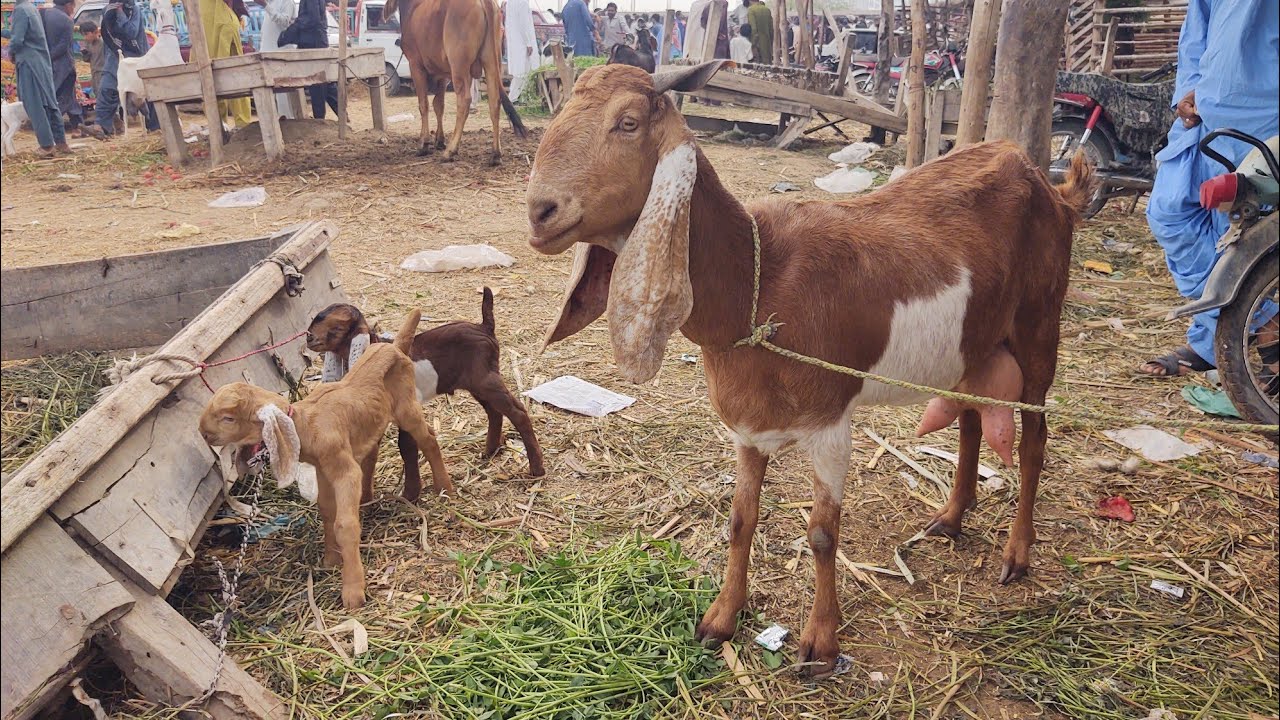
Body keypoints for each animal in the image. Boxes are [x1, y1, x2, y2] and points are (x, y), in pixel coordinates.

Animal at [199, 310, 453, 610]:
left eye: (228, 418)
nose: (202, 432)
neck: (307, 424)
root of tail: (395, 346)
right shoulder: (323, 469)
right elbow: (327, 513)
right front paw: (331, 560)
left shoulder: (343, 470)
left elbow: (344, 524)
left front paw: (352, 590)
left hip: (407, 407)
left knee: (429, 440)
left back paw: (445, 488)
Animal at [306, 288, 545, 479]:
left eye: (334, 327)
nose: (308, 338)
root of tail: (484, 328)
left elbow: (406, 446)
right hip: (476, 384)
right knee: (494, 412)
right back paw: (490, 452)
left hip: (486, 379)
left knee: (517, 412)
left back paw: (536, 469)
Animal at [524, 62, 1095, 677]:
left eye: (627, 122)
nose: (539, 212)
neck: (758, 283)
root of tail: (1051, 187)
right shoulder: (748, 425)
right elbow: (740, 519)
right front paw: (721, 618)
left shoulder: (829, 422)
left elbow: (822, 533)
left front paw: (821, 642)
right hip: (973, 342)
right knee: (970, 417)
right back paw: (950, 516)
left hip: (1039, 325)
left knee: (1034, 439)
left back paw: (1018, 552)